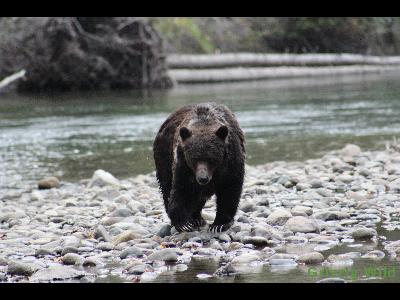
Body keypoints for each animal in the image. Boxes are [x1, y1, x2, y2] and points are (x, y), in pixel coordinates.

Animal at [153, 103, 245, 232]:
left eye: (211, 158)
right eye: (194, 159)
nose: (203, 178)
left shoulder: (231, 161)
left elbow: (229, 189)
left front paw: (220, 224)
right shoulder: (183, 163)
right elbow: (183, 189)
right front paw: (183, 223)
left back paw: (197, 218)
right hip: (164, 154)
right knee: (167, 185)